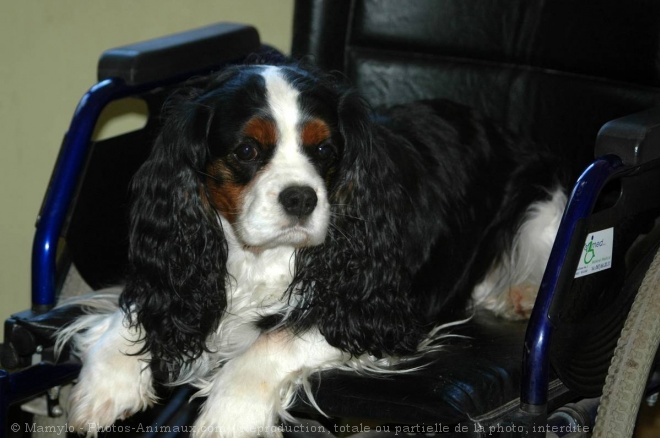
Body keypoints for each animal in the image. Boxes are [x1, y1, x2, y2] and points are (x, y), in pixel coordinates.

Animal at [55, 63, 568, 436]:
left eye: (324, 151)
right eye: (246, 150)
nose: (301, 198)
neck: (257, 257)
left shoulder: (378, 311)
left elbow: (275, 338)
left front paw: (227, 419)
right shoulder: (175, 272)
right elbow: (136, 307)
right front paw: (104, 386)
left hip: (545, 209)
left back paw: (521, 294)